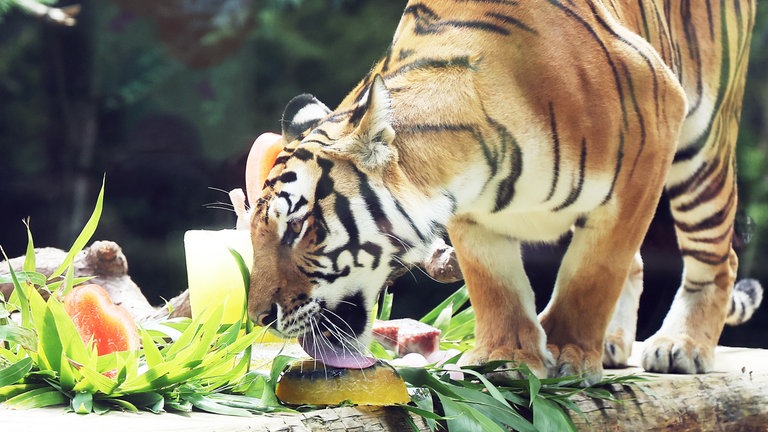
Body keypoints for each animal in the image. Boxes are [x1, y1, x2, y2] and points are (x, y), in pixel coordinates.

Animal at [246, 0, 760, 384]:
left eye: (298, 227)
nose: (259, 319)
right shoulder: (472, 215)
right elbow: (496, 283)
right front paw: (508, 358)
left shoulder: (649, 143)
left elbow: (593, 272)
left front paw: (568, 351)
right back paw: (614, 343)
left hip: (702, 144)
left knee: (717, 257)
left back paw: (681, 346)